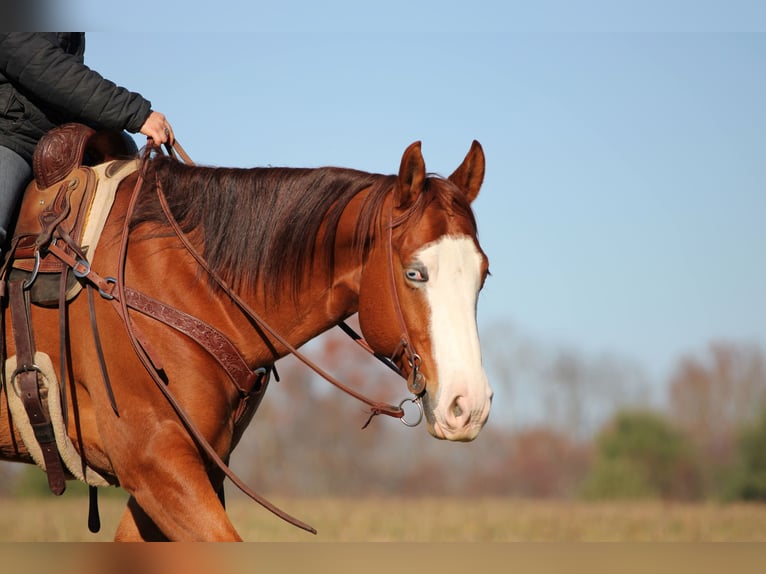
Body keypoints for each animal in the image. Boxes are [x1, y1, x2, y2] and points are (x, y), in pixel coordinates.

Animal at [0, 138, 492, 541]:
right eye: (414, 272)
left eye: (483, 275)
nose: (468, 406)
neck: (181, 281)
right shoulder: (155, 461)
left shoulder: (186, 469)